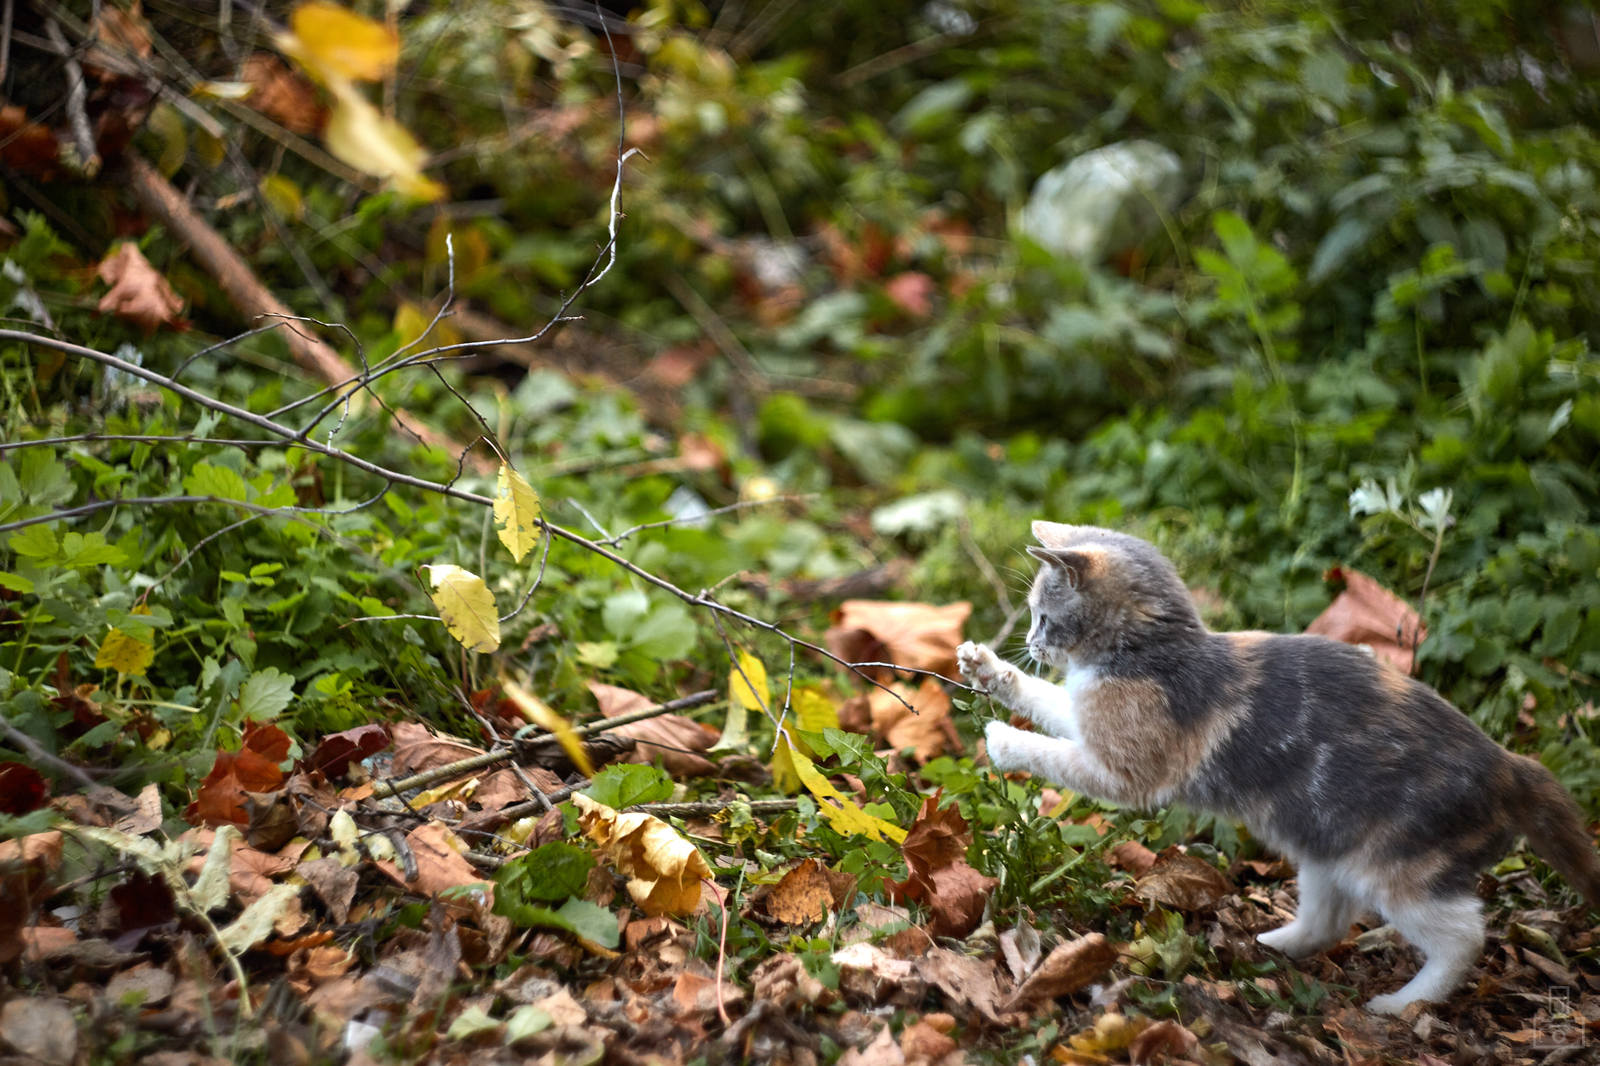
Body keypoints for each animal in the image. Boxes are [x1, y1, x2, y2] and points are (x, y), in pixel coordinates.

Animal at [953, 518, 1593, 1011]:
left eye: (1041, 615)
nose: (1029, 644)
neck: (1148, 657)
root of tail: (1511, 764)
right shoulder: (1089, 715)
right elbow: (1051, 703)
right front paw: (991, 671)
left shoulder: (1129, 773)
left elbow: (1056, 752)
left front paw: (1002, 739)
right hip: (1324, 844)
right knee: (1329, 921)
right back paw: (1269, 947)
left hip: (1399, 870)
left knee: (1463, 938)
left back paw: (1405, 1003)